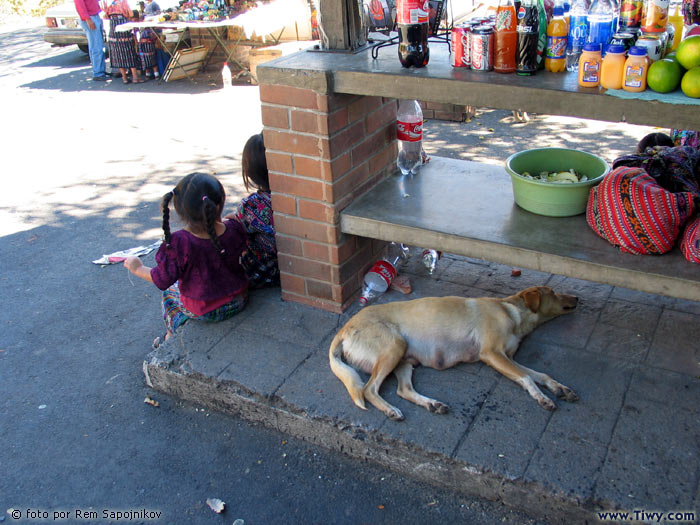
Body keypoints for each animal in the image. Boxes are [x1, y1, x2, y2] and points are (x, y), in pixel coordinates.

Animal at [330, 284, 576, 420]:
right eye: (554, 292)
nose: (577, 298)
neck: (511, 311)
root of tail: (344, 328)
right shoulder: (493, 354)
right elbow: (527, 377)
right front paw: (543, 398)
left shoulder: (509, 358)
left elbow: (540, 375)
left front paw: (560, 388)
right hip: (394, 347)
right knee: (369, 389)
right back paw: (391, 410)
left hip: (404, 359)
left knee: (403, 390)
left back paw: (432, 404)